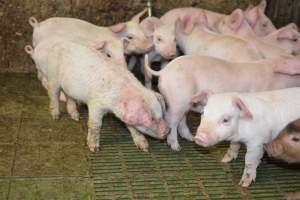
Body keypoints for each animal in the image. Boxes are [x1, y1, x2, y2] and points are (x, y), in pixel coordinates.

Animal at [144, 54, 300, 151]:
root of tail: (163, 71)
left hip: (184, 101)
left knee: (181, 120)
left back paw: (191, 138)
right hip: (178, 99)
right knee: (172, 121)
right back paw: (176, 147)